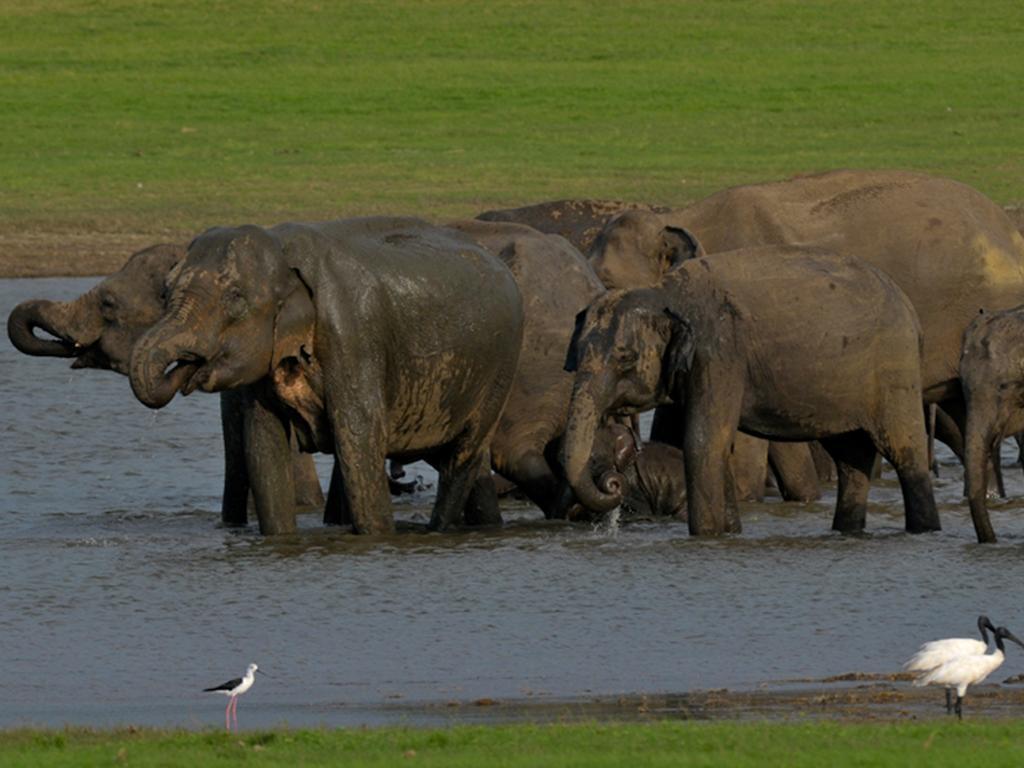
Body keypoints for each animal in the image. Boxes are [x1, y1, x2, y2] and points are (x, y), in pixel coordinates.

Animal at [128, 219, 524, 536]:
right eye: (163, 291)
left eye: (236, 299)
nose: (185, 367)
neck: (282, 248)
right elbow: (264, 446)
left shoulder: (352, 335)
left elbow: (358, 437)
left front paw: (379, 539)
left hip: (500, 370)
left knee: (462, 456)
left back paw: (440, 531)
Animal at [565, 243, 937, 536]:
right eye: (577, 354)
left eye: (624, 357)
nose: (614, 483)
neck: (667, 292)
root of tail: (912, 313)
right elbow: (716, 446)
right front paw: (731, 533)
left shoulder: (720, 354)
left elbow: (702, 442)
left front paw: (708, 537)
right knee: (851, 459)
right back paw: (846, 532)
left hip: (895, 368)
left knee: (904, 454)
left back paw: (924, 530)